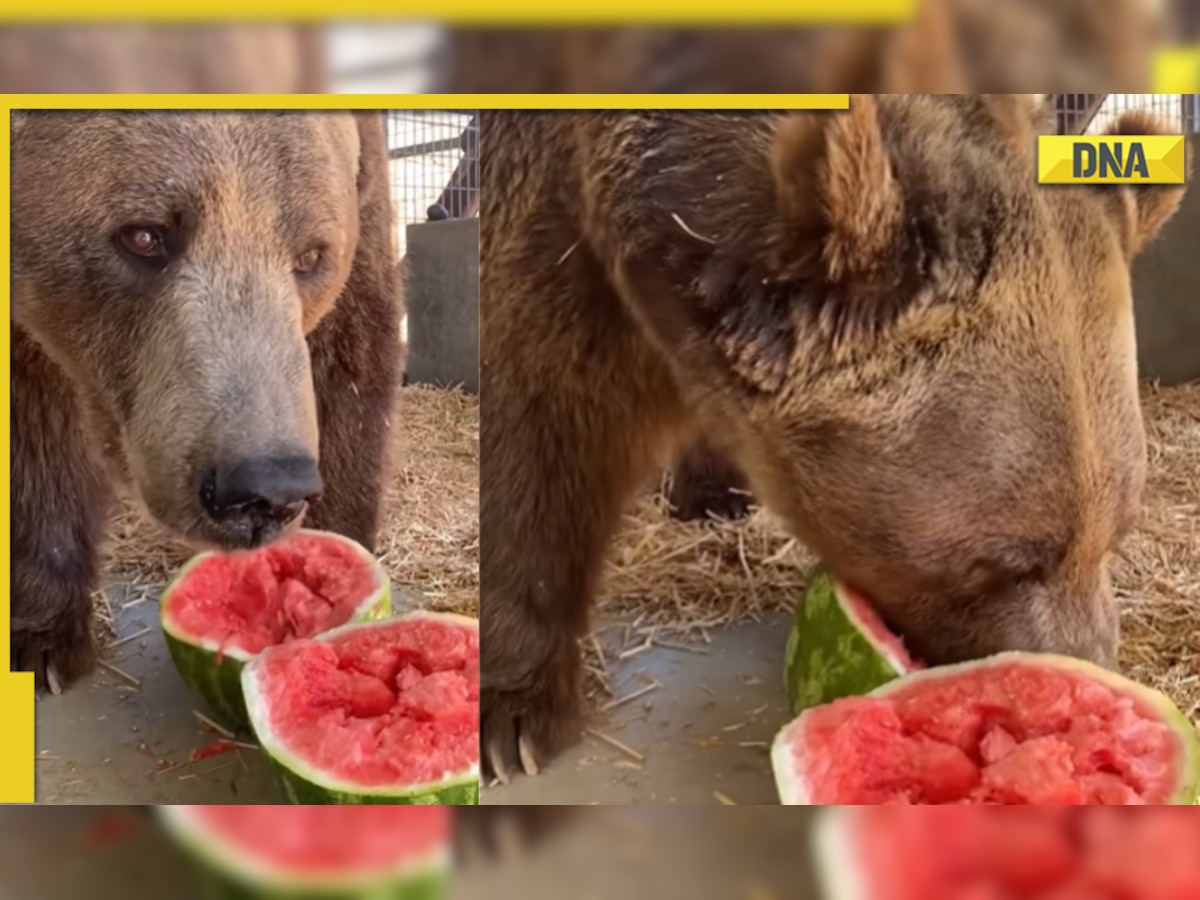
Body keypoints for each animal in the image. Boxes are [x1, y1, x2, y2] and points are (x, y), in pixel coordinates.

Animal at [10, 109, 403, 696]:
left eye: (310, 255)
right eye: (144, 236)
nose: (264, 490)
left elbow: (348, 365)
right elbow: (34, 429)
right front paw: (43, 639)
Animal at [477, 97, 1190, 782]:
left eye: (1120, 528)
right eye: (1009, 559)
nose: (1084, 670)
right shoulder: (557, 210)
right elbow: (541, 416)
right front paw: (512, 717)